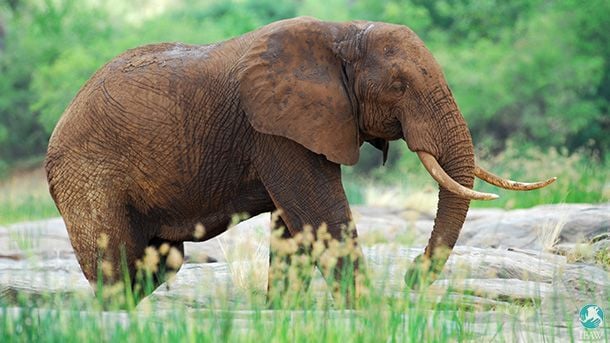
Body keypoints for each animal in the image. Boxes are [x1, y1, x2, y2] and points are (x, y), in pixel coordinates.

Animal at [45, 16, 552, 306]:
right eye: (400, 86)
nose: (410, 276)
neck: (344, 32)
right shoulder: (278, 129)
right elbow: (321, 213)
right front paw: (372, 314)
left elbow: (295, 227)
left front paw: (281, 314)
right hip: (88, 175)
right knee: (117, 264)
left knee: (156, 264)